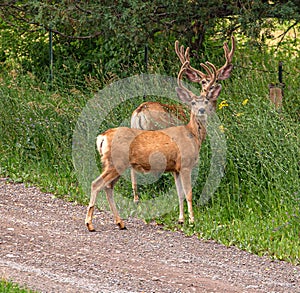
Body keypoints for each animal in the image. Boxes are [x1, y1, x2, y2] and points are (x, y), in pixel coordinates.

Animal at [85, 60, 221, 232]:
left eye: (206, 101)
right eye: (193, 102)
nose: (202, 110)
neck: (192, 135)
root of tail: (102, 137)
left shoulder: (175, 169)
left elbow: (180, 193)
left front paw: (181, 220)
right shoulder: (185, 165)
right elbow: (189, 193)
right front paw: (192, 221)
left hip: (115, 165)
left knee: (108, 187)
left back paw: (120, 222)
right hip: (116, 163)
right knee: (96, 184)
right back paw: (90, 224)